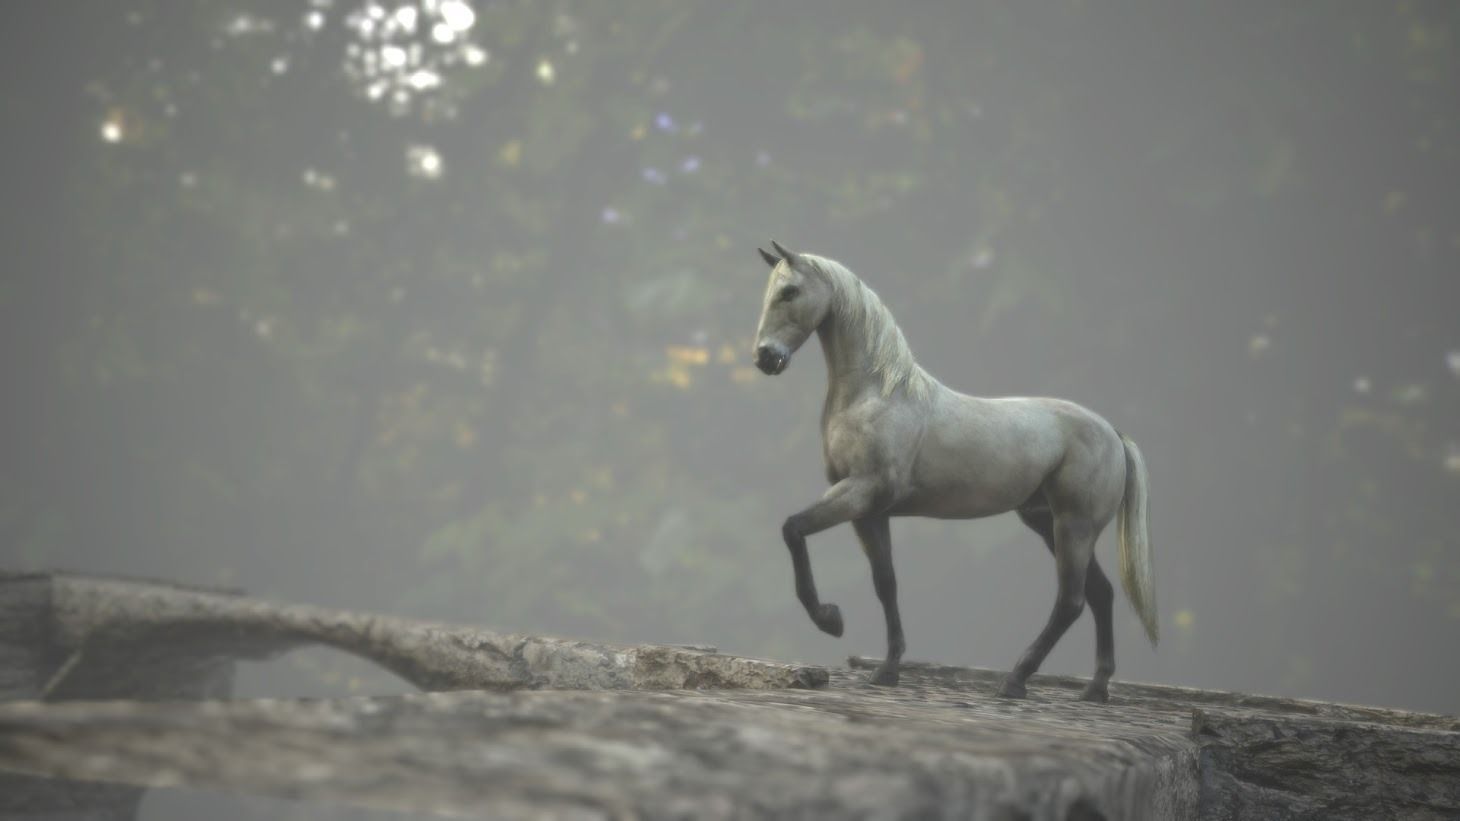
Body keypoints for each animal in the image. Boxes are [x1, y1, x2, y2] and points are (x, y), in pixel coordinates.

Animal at [751, 240, 1156, 702]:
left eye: (790, 291)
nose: (765, 357)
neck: (878, 394)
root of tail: (1112, 434)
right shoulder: (869, 513)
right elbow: (886, 583)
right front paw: (887, 669)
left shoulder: (860, 492)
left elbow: (793, 529)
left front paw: (830, 619)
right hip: (1047, 523)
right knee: (1101, 594)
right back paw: (1095, 688)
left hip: (1074, 526)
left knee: (1071, 602)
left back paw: (1016, 680)